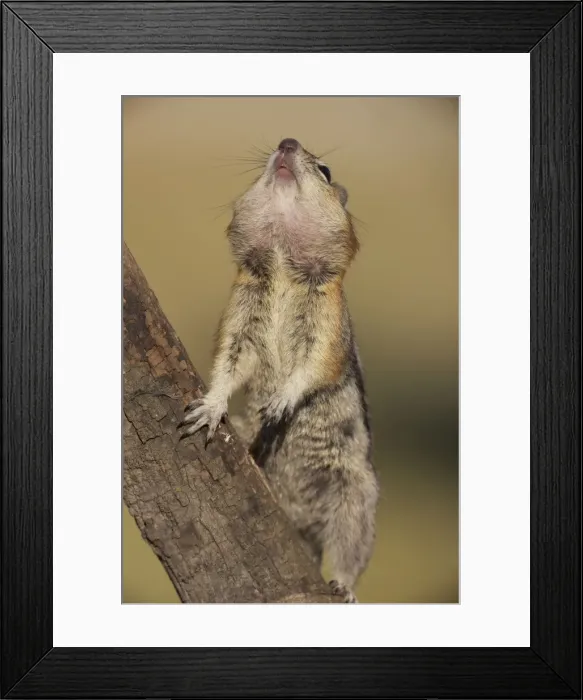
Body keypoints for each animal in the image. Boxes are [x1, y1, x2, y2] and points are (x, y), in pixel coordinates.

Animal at [178, 138, 379, 603]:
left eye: (325, 170)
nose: (288, 143)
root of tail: (298, 518)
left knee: (350, 551)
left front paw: (282, 400)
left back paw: (344, 587)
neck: (284, 265)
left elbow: (313, 365)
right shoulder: (240, 311)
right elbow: (229, 360)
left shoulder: (328, 322)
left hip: (355, 497)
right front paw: (211, 405)